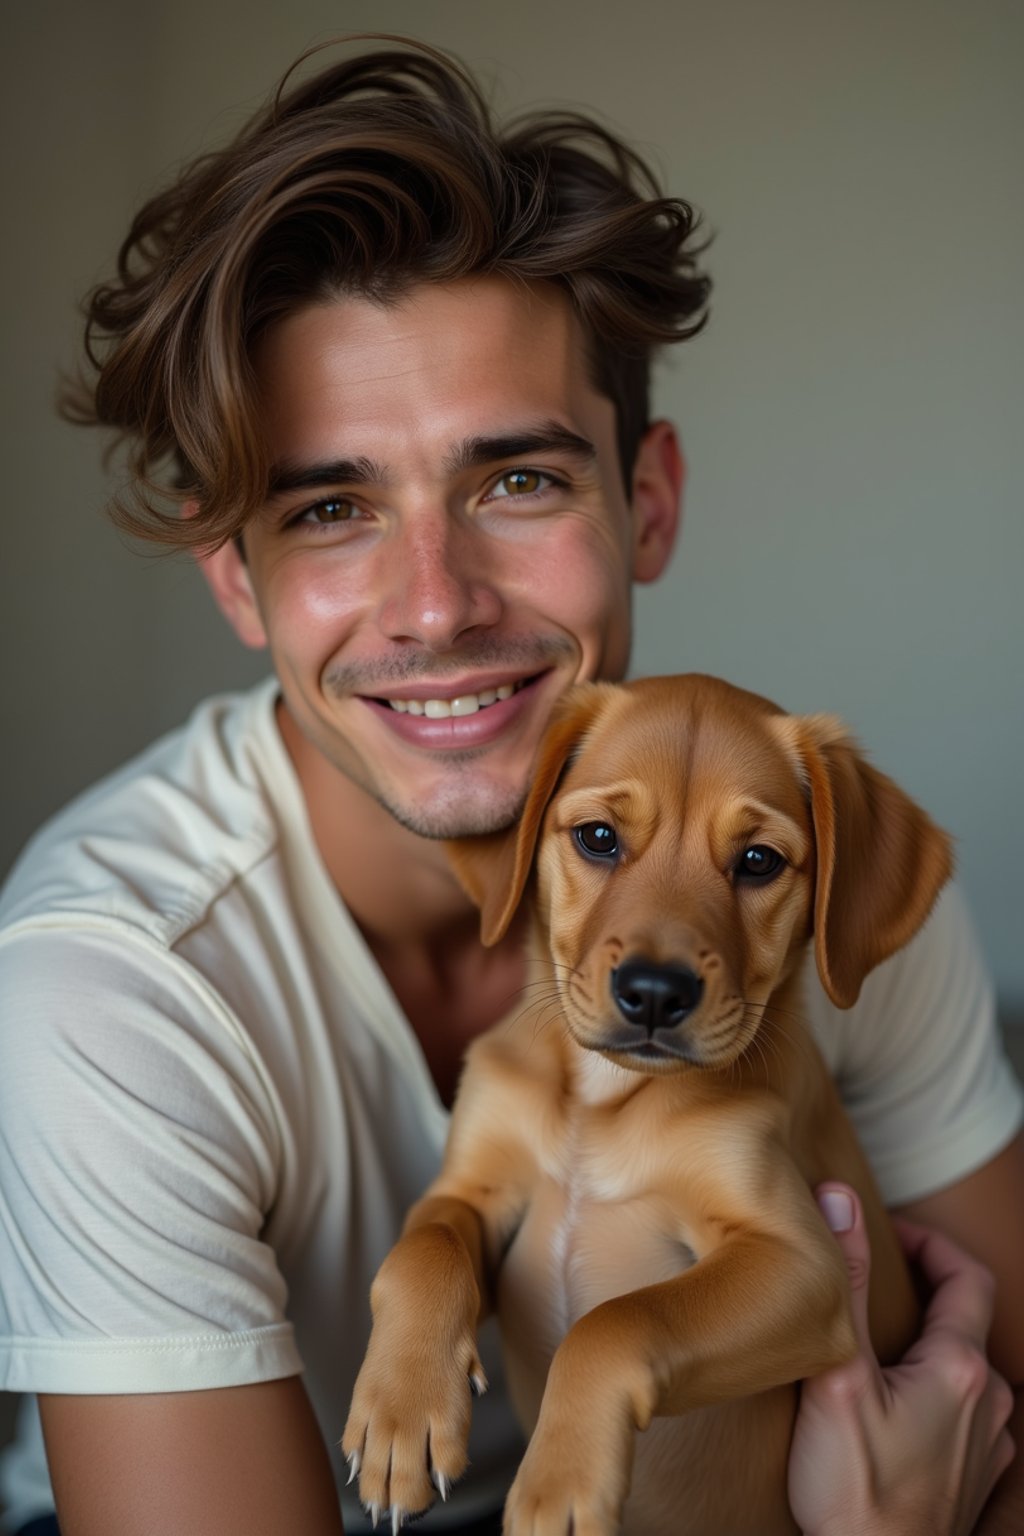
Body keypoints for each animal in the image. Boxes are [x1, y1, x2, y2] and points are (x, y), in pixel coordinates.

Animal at [342, 675, 951, 1536]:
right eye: (598, 838)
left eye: (758, 861)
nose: (656, 994)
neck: (601, 1102)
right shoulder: (471, 1186)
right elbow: (421, 1252)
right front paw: (403, 1411)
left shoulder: (801, 1262)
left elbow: (615, 1323)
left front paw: (558, 1484)